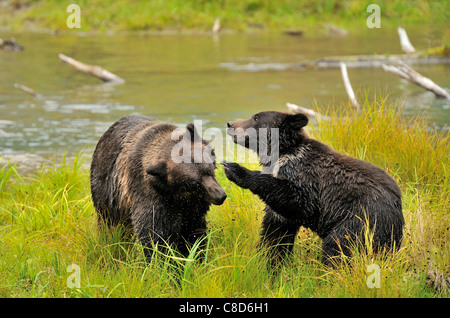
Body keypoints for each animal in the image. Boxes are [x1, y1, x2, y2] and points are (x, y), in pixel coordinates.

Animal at [90, 115, 227, 260]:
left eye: (209, 171)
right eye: (194, 182)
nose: (220, 195)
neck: (177, 195)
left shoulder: (192, 206)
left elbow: (193, 230)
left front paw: (195, 254)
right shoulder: (152, 195)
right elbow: (155, 233)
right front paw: (163, 259)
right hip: (108, 191)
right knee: (110, 224)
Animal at [223, 110, 402, 264]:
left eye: (256, 118)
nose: (230, 124)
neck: (280, 155)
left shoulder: (305, 180)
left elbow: (297, 200)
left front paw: (235, 169)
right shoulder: (282, 213)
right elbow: (275, 234)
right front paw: (270, 263)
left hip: (362, 218)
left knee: (338, 246)